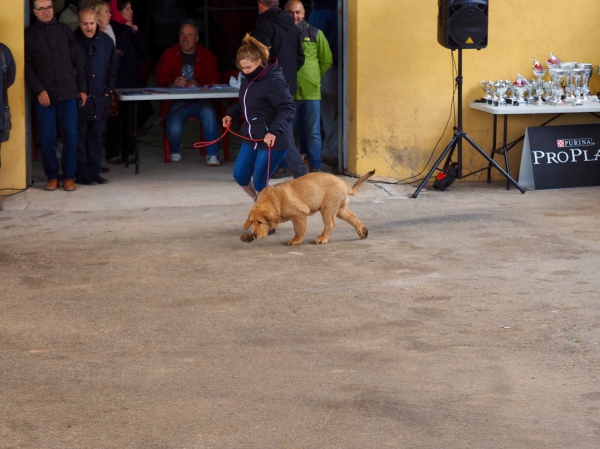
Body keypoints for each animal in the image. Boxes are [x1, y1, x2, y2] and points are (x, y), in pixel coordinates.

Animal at [240, 169, 376, 245]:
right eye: (252, 222)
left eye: (260, 222)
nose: (254, 236)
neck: (275, 199)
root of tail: (344, 182)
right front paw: (248, 237)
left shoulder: (298, 215)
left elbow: (299, 230)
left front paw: (295, 241)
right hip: (339, 208)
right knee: (352, 217)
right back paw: (362, 231)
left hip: (328, 207)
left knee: (330, 224)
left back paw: (322, 238)